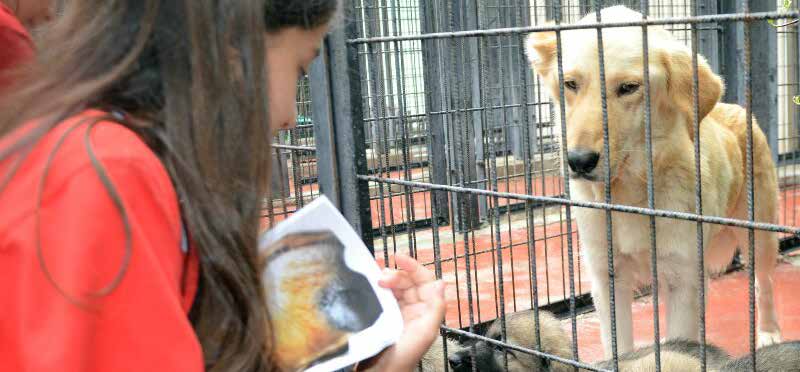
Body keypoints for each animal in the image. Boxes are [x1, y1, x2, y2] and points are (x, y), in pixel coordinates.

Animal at [524, 5, 780, 358]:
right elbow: (617, 348)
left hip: (759, 238)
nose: (578, 161)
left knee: (764, 285)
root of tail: (737, 108)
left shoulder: (681, 280)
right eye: (571, 83)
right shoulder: (608, 279)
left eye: (629, 87)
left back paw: (768, 332)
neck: (630, 196)